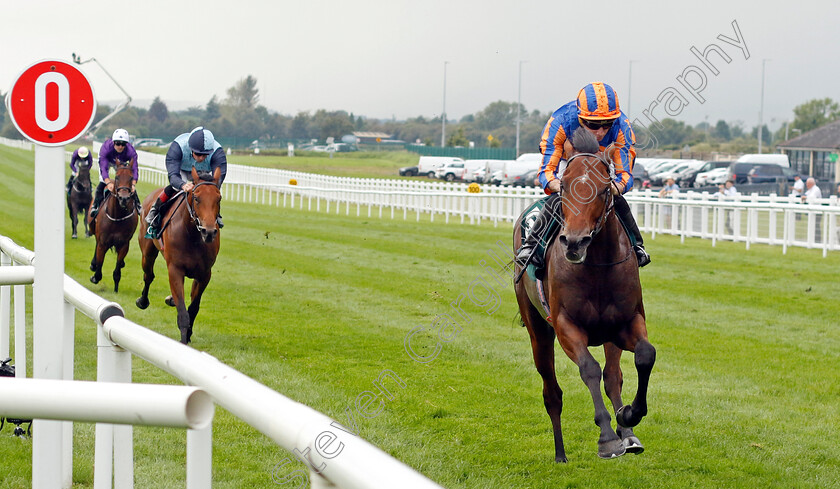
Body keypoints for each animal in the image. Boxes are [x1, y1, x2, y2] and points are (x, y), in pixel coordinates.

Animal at [88, 160, 138, 292]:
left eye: (131, 178)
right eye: (117, 177)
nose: (124, 198)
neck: (117, 217)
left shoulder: (124, 244)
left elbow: (117, 270)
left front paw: (116, 289)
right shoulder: (103, 242)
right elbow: (99, 267)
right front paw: (95, 276)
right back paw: (93, 264)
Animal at [135, 168, 221, 344]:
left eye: (219, 198)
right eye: (196, 198)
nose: (208, 232)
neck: (193, 236)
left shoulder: (204, 274)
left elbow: (193, 308)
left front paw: (188, 335)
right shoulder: (175, 270)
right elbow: (183, 313)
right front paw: (183, 341)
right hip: (147, 252)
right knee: (149, 275)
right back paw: (143, 301)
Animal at [512, 126, 656, 462]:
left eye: (604, 190)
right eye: (564, 187)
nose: (575, 242)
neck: (597, 268)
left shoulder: (627, 322)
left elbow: (644, 355)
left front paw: (628, 416)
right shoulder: (566, 326)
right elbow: (588, 369)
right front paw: (607, 439)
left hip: (608, 334)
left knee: (613, 376)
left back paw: (628, 434)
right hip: (538, 331)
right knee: (551, 392)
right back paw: (560, 454)